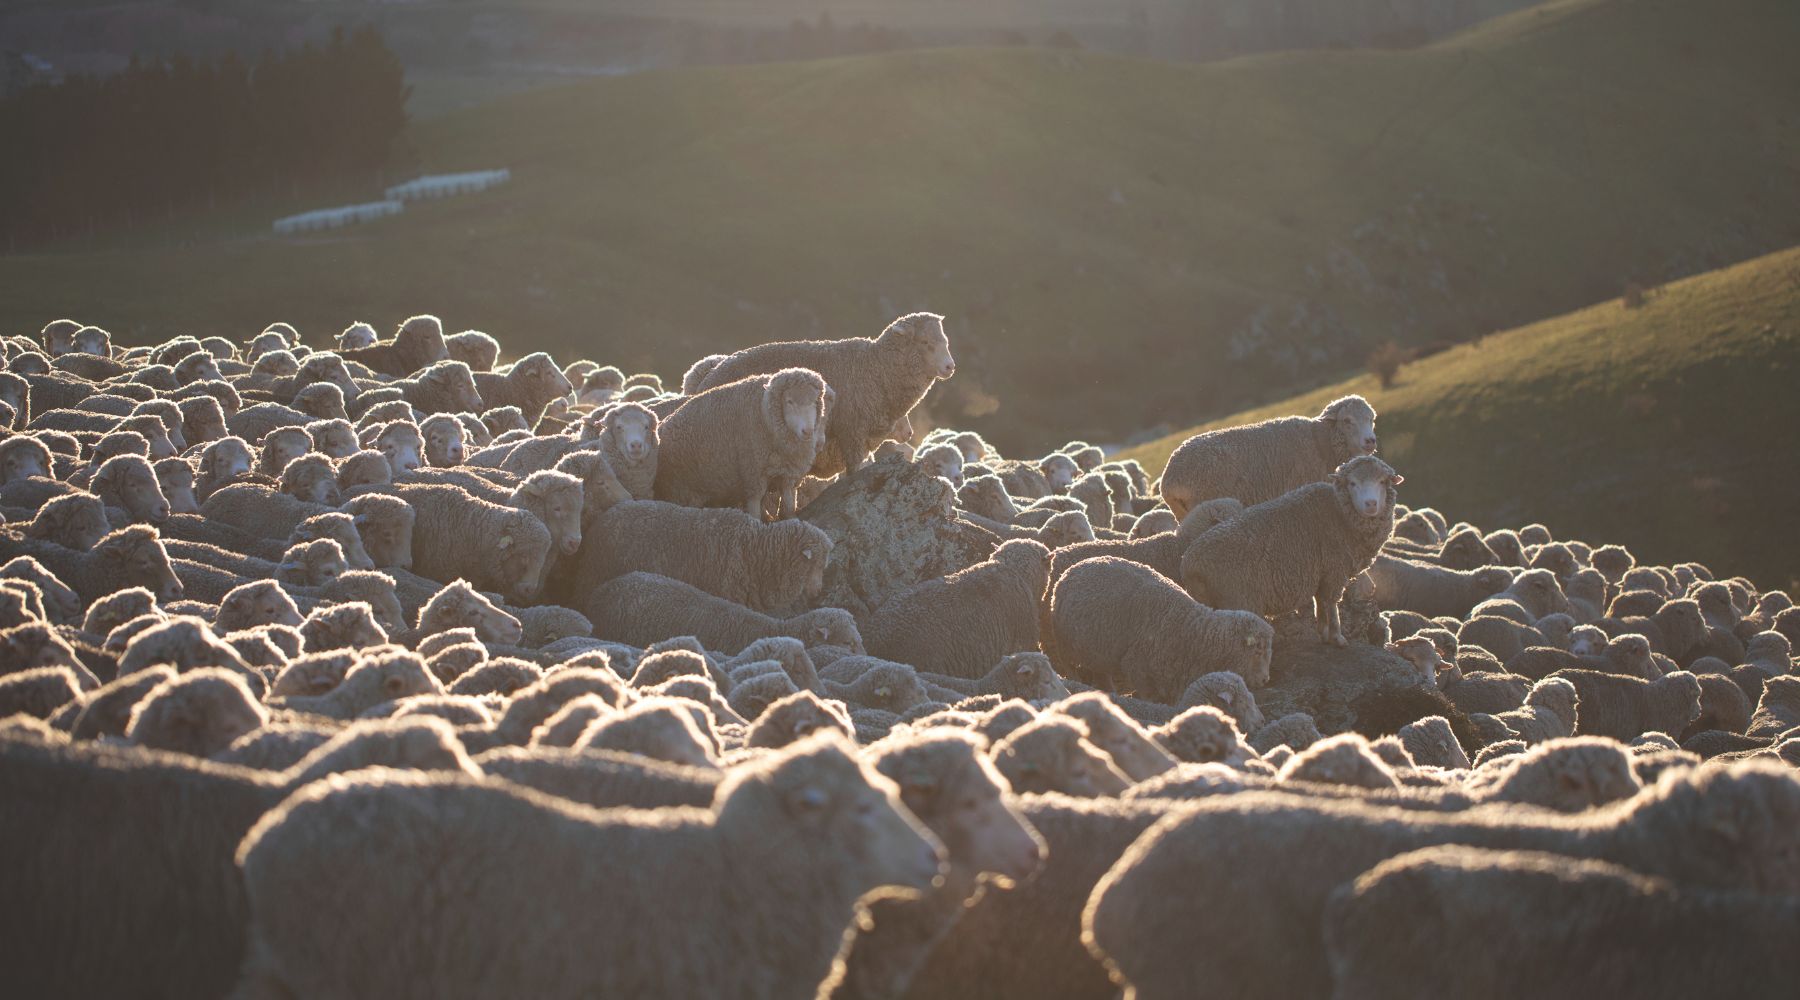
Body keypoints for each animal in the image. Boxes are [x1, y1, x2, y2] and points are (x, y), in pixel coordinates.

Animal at [654, 367, 826, 517]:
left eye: (814, 401)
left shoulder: (789, 475)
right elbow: (755, 508)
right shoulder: (753, 474)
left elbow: (789, 505)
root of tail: (662, 425)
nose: (808, 431)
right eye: (789, 401)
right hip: (679, 489)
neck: (764, 415)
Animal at [689, 313, 954, 479]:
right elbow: (854, 470)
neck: (876, 368)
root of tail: (709, 377)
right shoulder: (852, 432)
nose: (950, 367)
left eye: (945, 341)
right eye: (925, 341)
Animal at [1047, 556, 1272, 701]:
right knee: (1069, 666)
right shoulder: (1136, 665)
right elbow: (1149, 696)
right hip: (1064, 644)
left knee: (1101, 672)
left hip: (1098, 650)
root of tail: (1074, 568)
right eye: (1258, 650)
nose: (1265, 680)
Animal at [1181, 455, 1401, 645]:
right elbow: (1331, 604)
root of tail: (1190, 565)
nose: (1371, 504)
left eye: (1382, 481)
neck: (1339, 511)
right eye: (1352, 483)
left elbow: (1320, 603)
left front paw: (1323, 633)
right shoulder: (1334, 570)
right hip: (1238, 599)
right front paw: (1337, 637)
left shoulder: (1322, 573)